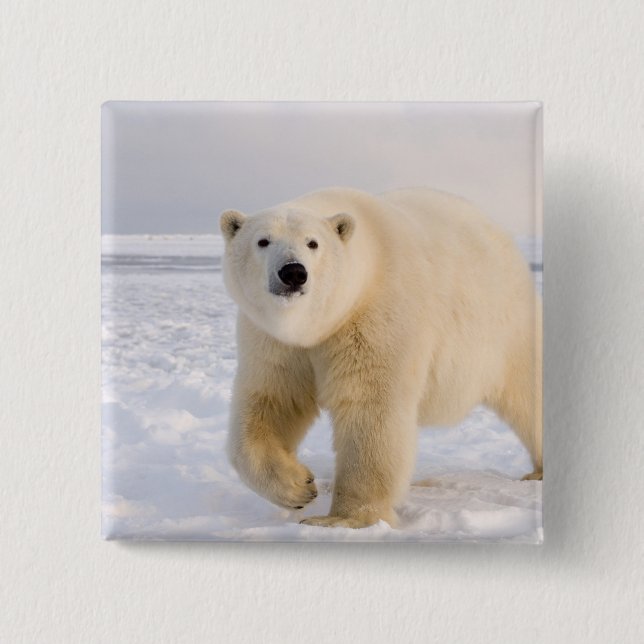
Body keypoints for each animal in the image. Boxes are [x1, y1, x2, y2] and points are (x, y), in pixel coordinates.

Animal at [220, 187, 542, 529]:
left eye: (313, 242)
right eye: (263, 241)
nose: (293, 272)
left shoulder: (376, 317)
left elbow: (369, 408)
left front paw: (342, 519)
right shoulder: (274, 340)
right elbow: (272, 401)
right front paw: (299, 486)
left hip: (506, 327)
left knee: (529, 392)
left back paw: (537, 471)